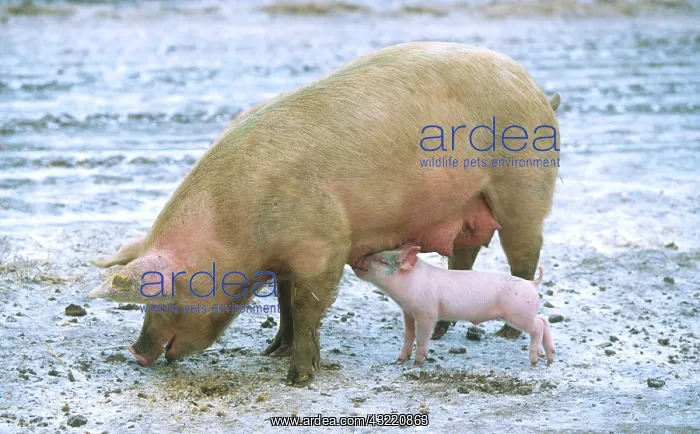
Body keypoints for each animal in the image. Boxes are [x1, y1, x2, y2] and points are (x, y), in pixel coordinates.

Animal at [352, 245, 555, 366]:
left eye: (381, 261)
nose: (356, 259)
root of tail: (532, 284)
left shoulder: (427, 311)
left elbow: (422, 336)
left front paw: (418, 363)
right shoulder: (408, 311)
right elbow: (409, 334)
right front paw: (400, 360)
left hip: (518, 313)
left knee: (538, 326)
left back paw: (535, 360)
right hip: (525, 312)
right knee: (544, 320)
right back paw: (549, 358)